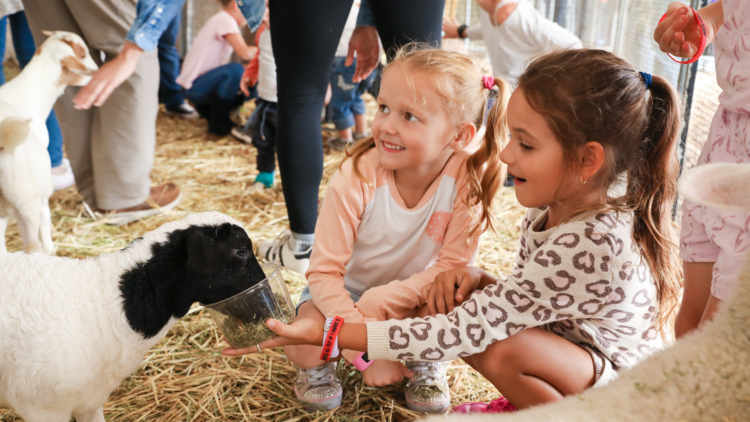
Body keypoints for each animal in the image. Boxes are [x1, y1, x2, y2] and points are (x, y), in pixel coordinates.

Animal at [0, 31, 98, 254]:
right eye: (82, 55)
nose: (97, 72)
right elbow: (45, 217)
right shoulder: (42, 184)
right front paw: (50, 247)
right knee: (31, 244)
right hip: (23, 195)